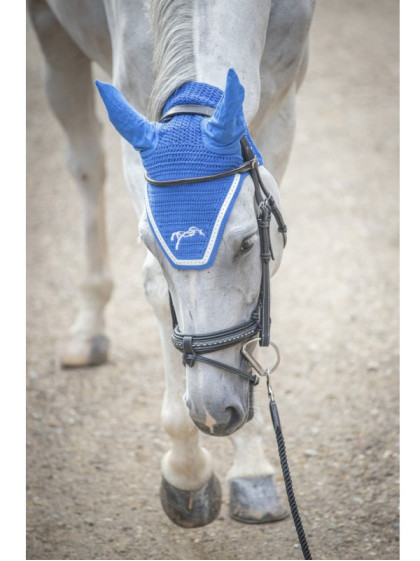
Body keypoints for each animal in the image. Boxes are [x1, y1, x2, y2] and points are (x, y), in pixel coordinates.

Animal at [27, 0, 314, 524]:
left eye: (247, 244)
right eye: (152, 243)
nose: (212, 410)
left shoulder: (282, 106)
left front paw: (253, 472)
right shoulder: (138, 105)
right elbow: (154, 287)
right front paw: (187, 474)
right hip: (50, 30)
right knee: (85, 162)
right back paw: (87, 331)